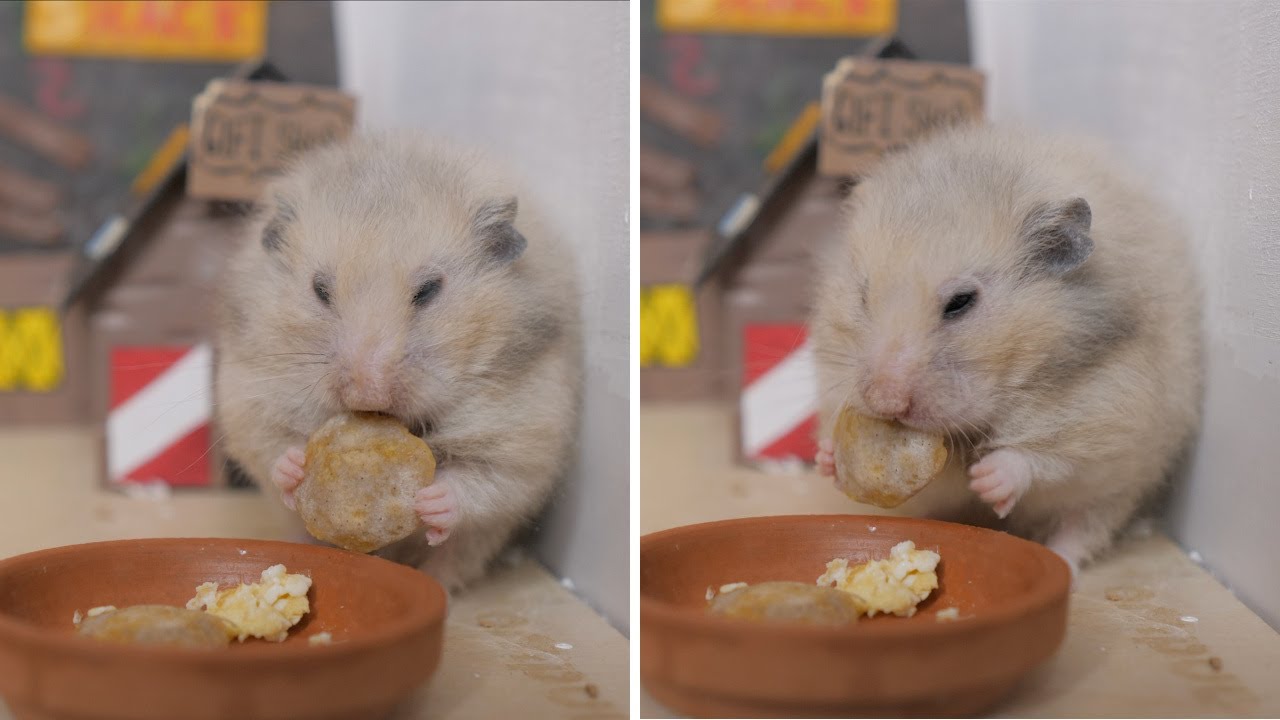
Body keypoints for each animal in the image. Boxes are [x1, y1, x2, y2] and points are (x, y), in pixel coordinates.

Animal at [214, 133, 583, 591]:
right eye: (320, 290)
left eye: (428, 291)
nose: (366, 393)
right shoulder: (249, 397)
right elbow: (270, 447)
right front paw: (296, 466)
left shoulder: (526, 433)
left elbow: (481, 479)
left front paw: (430, 501)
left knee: (453, 559)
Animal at [811, 124, 1203, 576]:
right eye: (864, 294)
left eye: (961, 302)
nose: (884, 401)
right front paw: (827, 458)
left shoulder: (1110, 418)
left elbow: (1043, 457)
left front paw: (988, 480)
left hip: (1115, 491)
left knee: (1080, 529)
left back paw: (1063, 563)